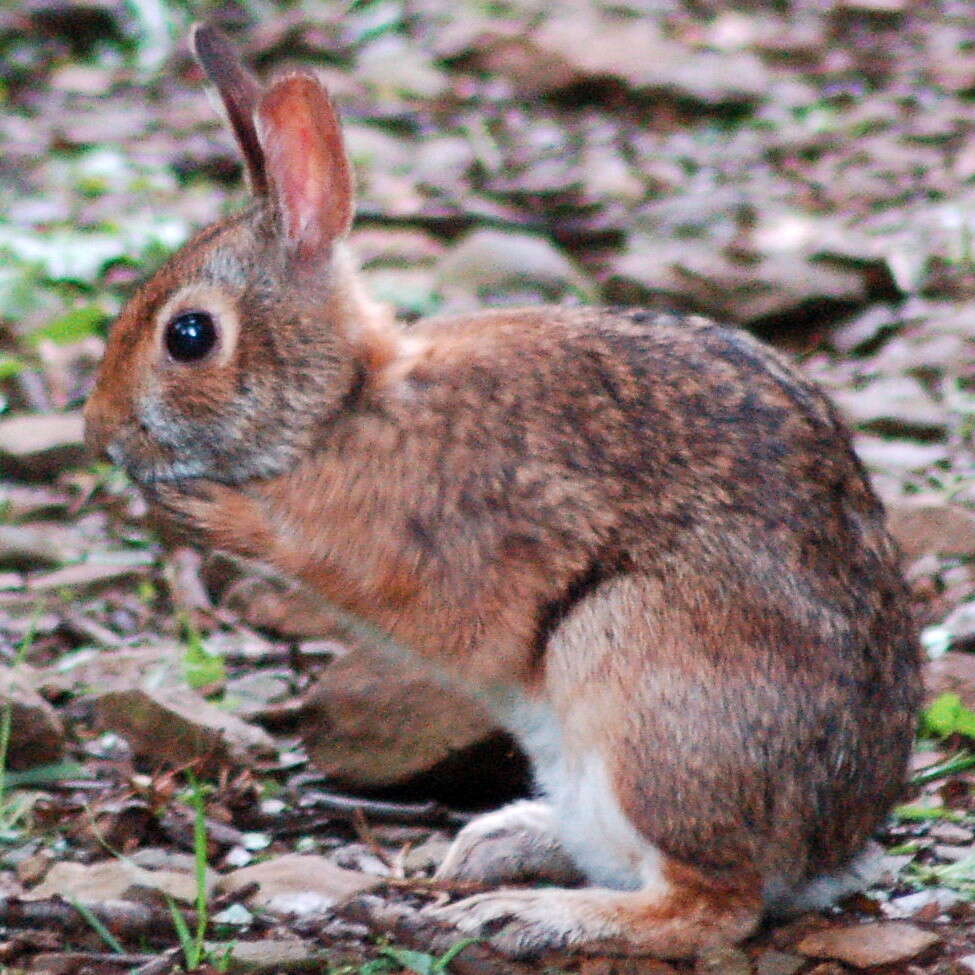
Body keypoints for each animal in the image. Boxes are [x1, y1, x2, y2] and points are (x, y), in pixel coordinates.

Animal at [86, 22, 924, 960]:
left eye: (190, 336)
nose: (98, 433)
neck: (346, 403)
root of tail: (830, 846)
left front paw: (207, 509)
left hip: (640, 680)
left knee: (713, 902)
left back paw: (529, 913)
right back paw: (502, 843)